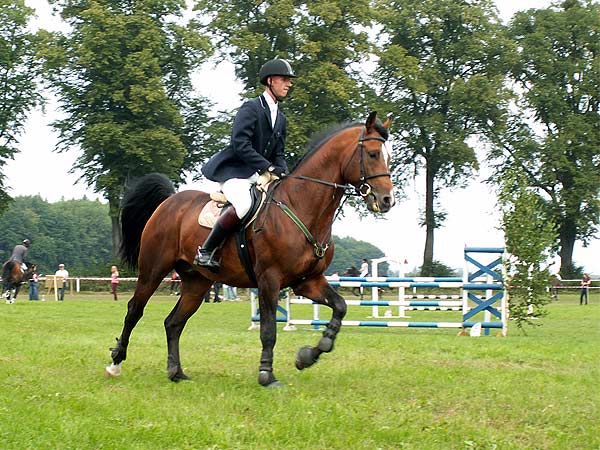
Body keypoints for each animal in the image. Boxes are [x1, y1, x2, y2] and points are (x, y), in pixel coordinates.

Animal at [104, 111, 394, 386]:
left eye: (389, 157)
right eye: (372, 154)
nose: (387, 200)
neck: (301, 205)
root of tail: (169, 202)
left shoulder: (308, 281)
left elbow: (340, 307)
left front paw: (309, 355)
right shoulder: (269, 279)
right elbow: (268, 331)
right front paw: (267, 375)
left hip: (197, 282)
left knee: (174, 323)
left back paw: (176, 372)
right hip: (153, 270)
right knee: (135, 310)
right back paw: (116, 363)